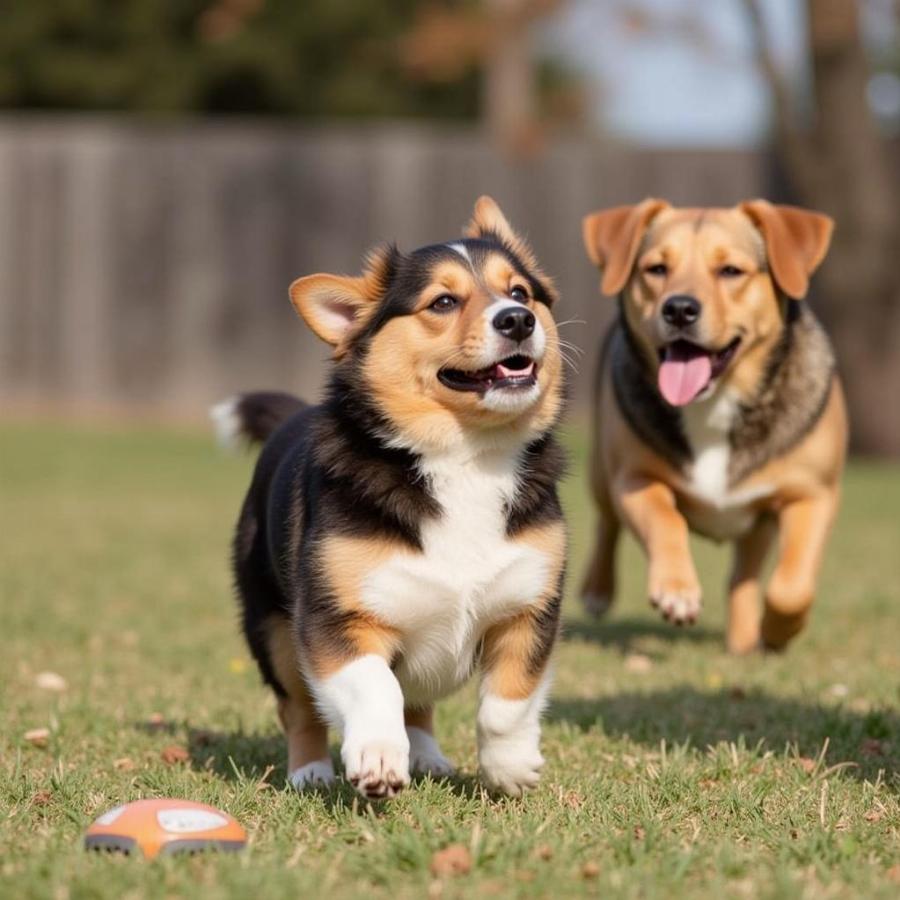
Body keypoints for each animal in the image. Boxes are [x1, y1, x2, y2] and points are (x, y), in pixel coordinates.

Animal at [215, 197, 568, 796]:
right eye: (443, 302)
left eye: (520, 292)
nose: (517, 320)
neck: (465, 454)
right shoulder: (337, 618)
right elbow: (374, 685)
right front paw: (377, 759)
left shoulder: (528, 610)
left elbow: (508, 702)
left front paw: (510, 769)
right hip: (271, 628)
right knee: (300, 709)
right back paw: (311, 772)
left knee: (419, 702)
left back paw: (426, 755)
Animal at [580, 199, 848, 652]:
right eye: (656, 269)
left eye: (731, 271)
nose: (679, 308)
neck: (714, 402)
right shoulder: (634, 479)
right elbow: (665, 520)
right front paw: (677, 590)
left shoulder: (812, 493)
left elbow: (790, 586)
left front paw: (778, 630)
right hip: (602, 469)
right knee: (606, 522)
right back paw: (596, 591)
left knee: (744, 575)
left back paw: (744, 640)